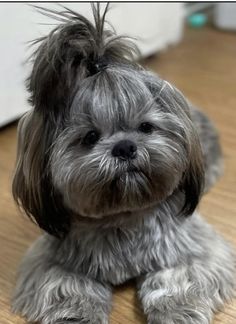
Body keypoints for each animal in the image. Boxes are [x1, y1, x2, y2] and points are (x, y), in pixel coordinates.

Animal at [12, 5, 235, 324]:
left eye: (145, 127)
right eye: (90, 137)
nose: (125, 147)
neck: (124, 216)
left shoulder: (192, 249)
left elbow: (176, 280)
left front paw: (176, 312)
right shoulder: (52, 260)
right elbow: (66, 287)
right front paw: (76, 316)